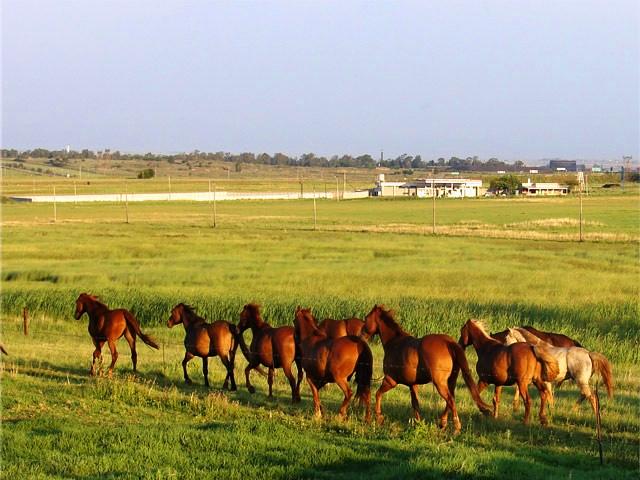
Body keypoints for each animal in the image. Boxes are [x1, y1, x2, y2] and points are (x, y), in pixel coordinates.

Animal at [360, 306, 490, 434]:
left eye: (366, 318)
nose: (361, 336)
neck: (394, 343)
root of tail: (449, 342)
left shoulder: (390, 380)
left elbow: (378, 394)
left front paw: (379, 417)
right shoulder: (413, 385)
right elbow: (415, 404)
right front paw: (418, 424)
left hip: (439, 383)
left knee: (450, 400)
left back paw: (456, 428)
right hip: (451, 381)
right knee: (450, 399)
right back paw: (443, 423)